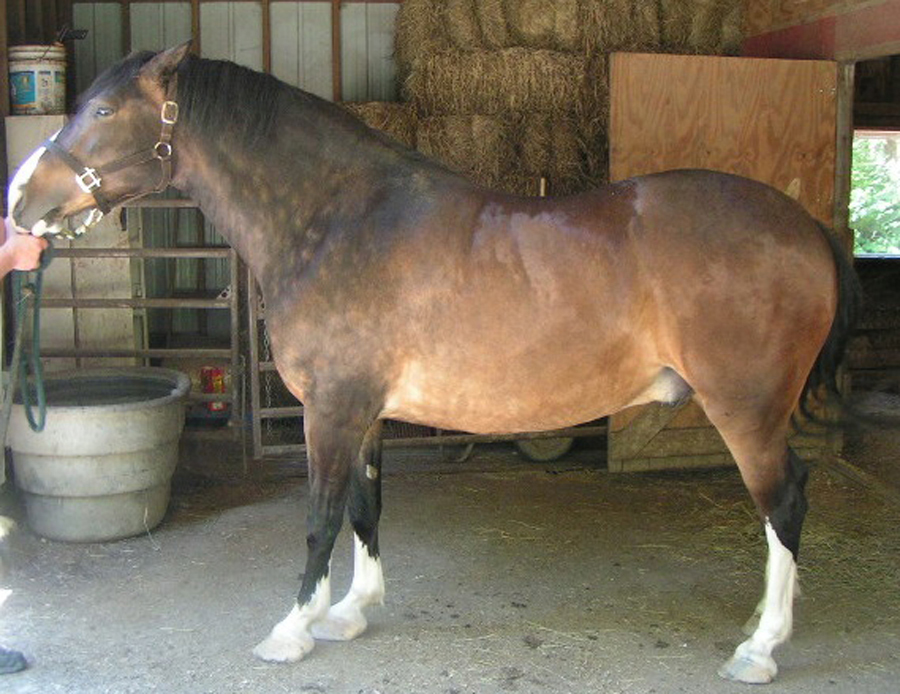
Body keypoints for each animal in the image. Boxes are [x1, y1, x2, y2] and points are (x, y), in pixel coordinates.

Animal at [6, 44, 860, 684]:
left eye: (104, 112)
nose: (20, 200)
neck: (337, 219)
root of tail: (807, 228)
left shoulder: (331, 410)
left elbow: (319, 518)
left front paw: (293, 629)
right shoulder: (363, 412)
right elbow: (364, 507)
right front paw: (351, 612)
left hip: (745, 409)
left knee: (785, 502)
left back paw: (760, 648)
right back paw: (761, 620)